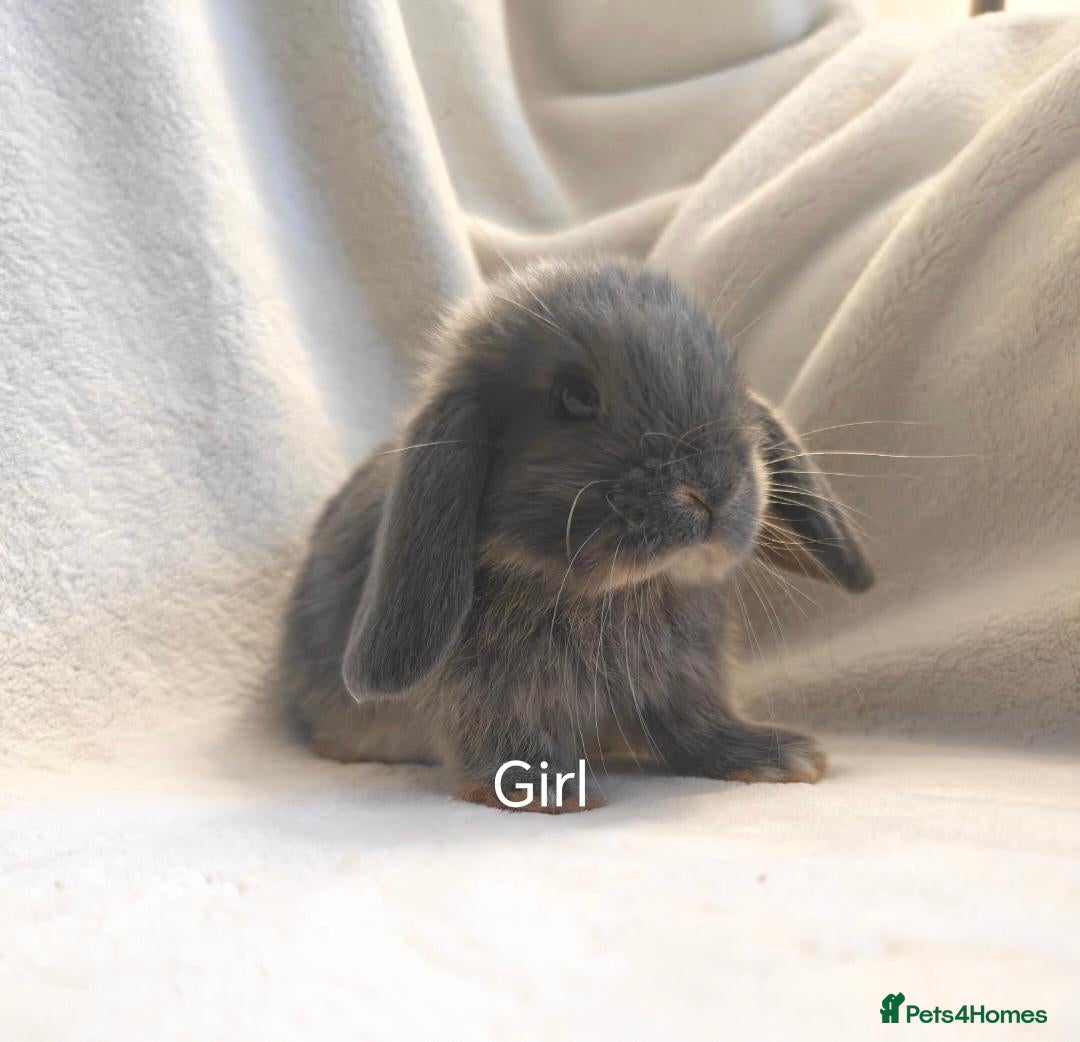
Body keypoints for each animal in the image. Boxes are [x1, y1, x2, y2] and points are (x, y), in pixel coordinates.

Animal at [279, 258, 873, 813]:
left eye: (735, 390)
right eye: (575, 398)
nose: (713, 489)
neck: (612, 593)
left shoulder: (683, 683)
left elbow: (694, 729)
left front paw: (777, 757)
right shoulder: (487, 696)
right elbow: (504, 743)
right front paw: (548, 791)